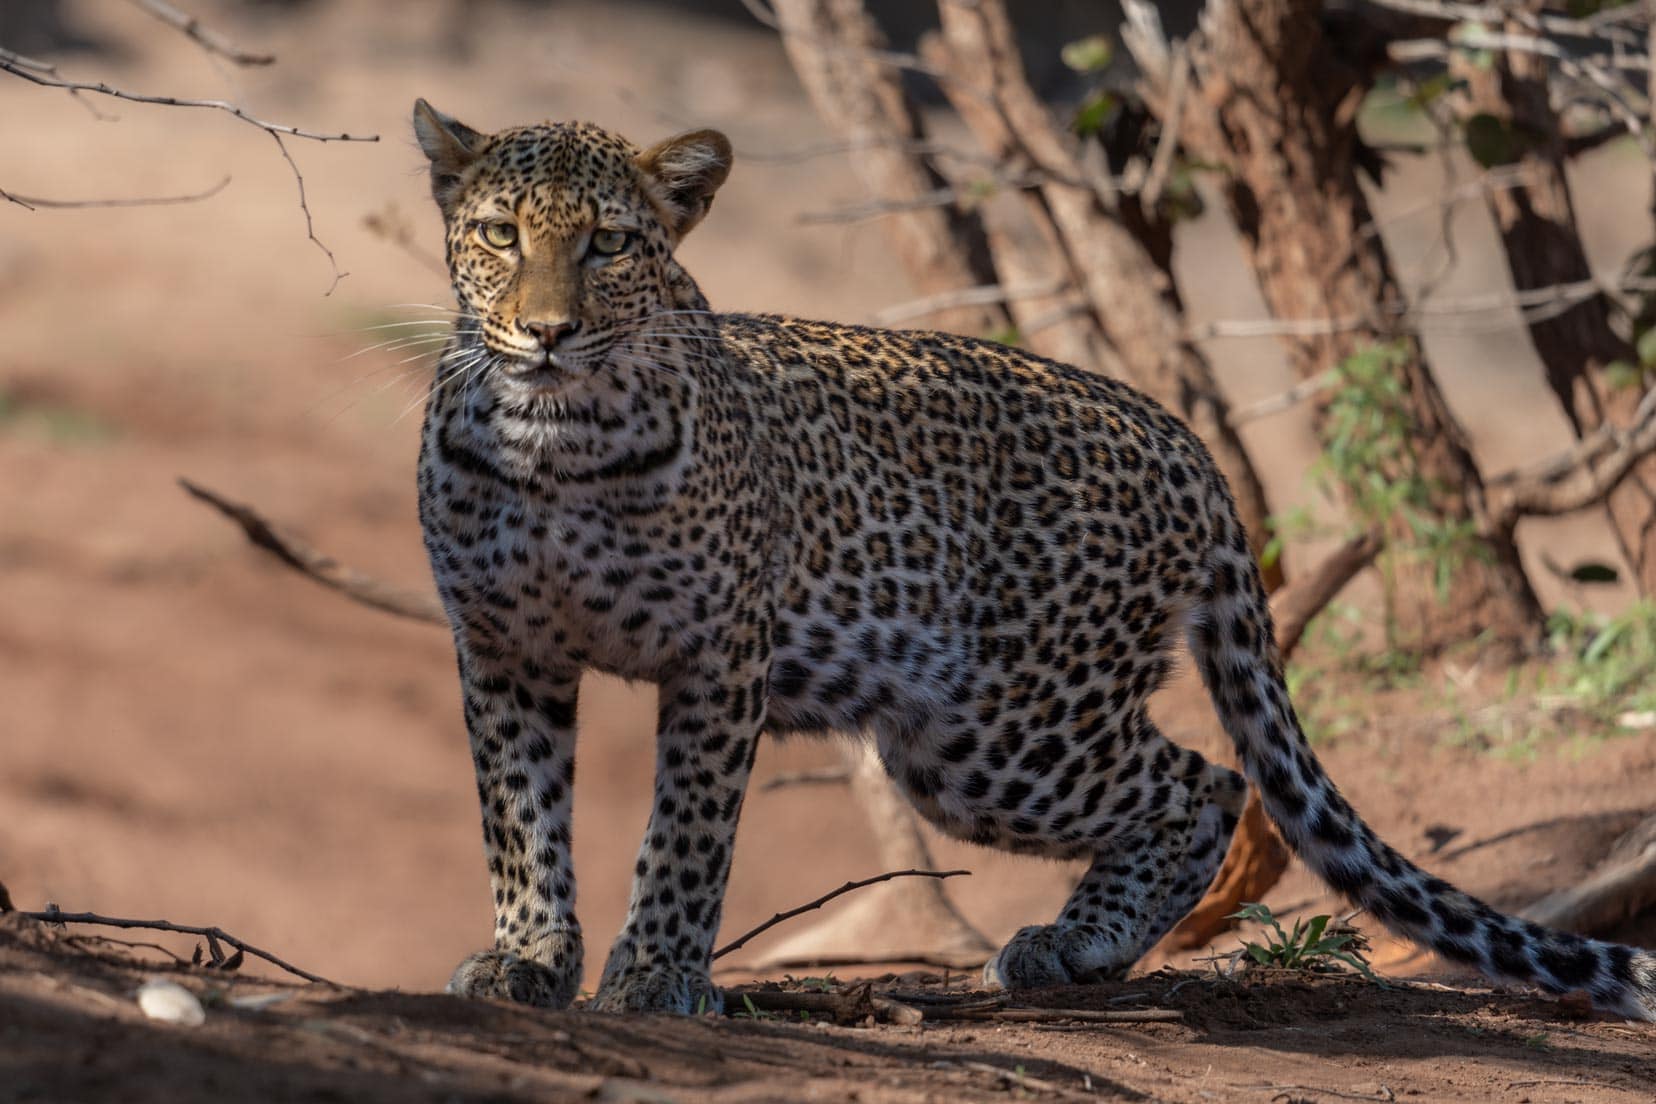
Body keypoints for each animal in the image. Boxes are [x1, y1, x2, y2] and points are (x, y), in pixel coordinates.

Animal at [410, 99, 1656, 1026]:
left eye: (610, 243)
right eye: (500, 235)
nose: (548, 333)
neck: (553, 437)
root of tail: (1180, 437)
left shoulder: (720, 655)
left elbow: (688, 829)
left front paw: (658, 974)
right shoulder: (505, 648)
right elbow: (521, 817)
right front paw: (527, 959)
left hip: (993, 731)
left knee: (1206, 782)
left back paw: (1078, 943)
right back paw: (1081, 944)